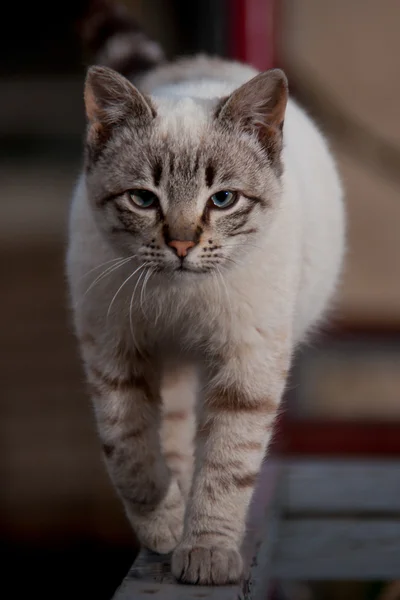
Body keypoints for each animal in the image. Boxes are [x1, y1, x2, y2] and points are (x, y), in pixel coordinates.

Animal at [67, 0, 346, 584]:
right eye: (143, 199)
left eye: (222, 199)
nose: (180, 243)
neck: (179, 301)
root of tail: (189, 63)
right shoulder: (113, 351)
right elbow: (128, 453)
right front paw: (164, 525)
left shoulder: (248, 360)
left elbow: (226, 466)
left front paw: (206, 552)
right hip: (165, 363)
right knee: (170, 430)